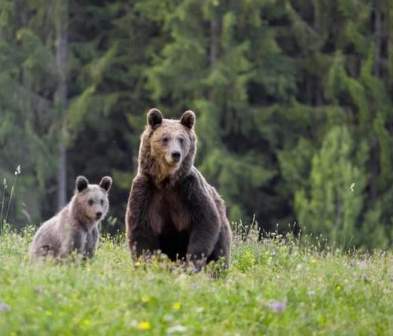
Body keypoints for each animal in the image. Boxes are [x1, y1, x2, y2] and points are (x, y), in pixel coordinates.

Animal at [125, 109, 230, 270]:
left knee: (219, 255)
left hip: (221, 232)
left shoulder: (189, 188)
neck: (166, 181)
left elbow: (206, 220)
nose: (176, 154)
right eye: (165, 138)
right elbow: (140, 230)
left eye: (181, 139)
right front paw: (146, 264)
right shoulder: (145, 191)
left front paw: (192, 262)